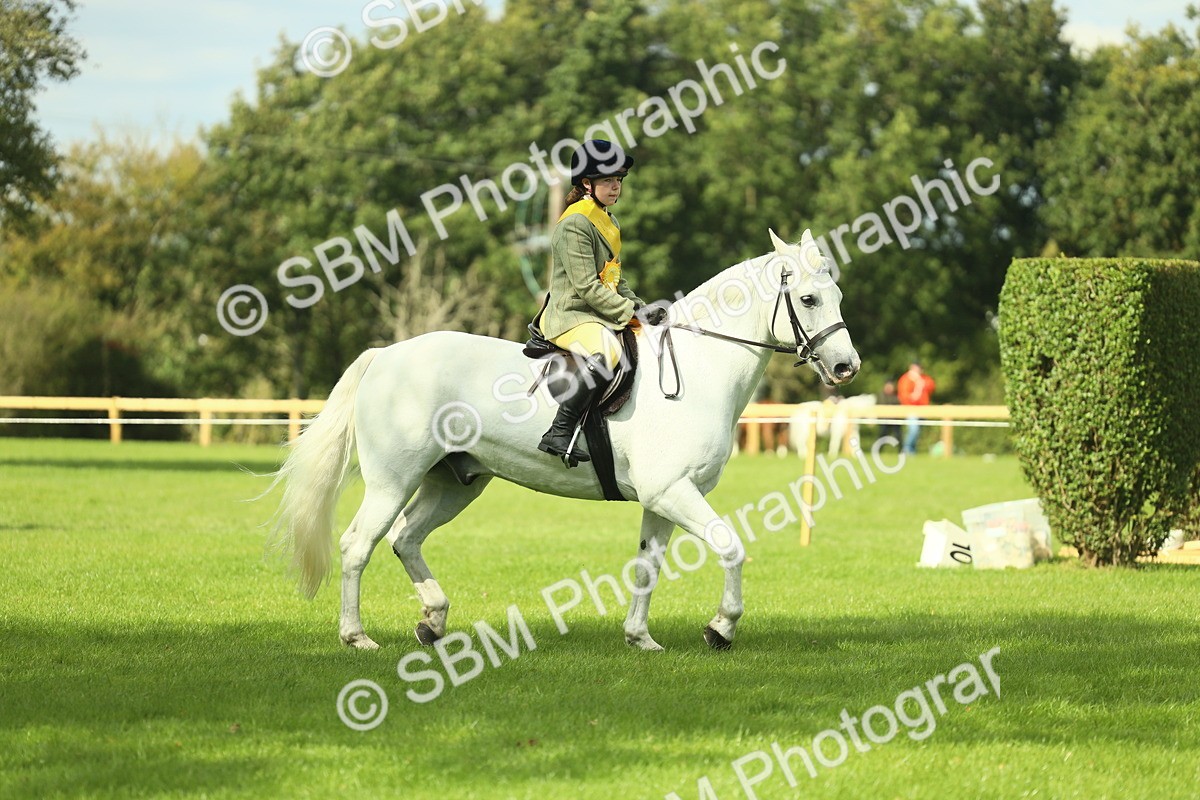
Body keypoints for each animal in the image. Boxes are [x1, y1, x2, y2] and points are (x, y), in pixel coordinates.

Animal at [269, 228, 860, 652]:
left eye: (837, 295)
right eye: (809, 299)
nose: (845, 367)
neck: (698, 367)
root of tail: (386, 355)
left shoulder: (663, 499)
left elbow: (647, 566)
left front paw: (640, 638)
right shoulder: (673, 491)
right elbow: (730, 546)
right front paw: (721, 628)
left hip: (456, 482)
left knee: (405, 539)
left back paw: (433, 622)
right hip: (394, 480)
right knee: (358, 544)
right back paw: (357, 637)